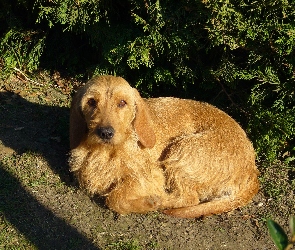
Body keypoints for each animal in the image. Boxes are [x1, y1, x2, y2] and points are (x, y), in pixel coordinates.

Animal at [69, 75, 260, 218]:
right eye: (91, 102)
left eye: (122, 102)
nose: (105, 132)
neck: (110, 151)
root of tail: (252, 171)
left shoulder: (150, 176)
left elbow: (114, 198)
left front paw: (150, 201)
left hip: (180, 150)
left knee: (190, 198)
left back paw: (160, 201)